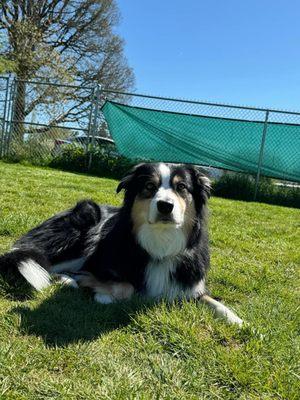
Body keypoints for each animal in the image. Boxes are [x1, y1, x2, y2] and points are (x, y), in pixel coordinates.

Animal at [0, 164, 244, 326]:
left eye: (182, 187)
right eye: (149, 186)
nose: (165, 206)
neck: (160, 242)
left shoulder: (191, 284)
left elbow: (212, 300)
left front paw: (237, 319)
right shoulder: (101, 267)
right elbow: (125, 287)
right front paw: (100, 292)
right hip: (85, 218)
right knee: (46, 264)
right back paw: (68, 279)